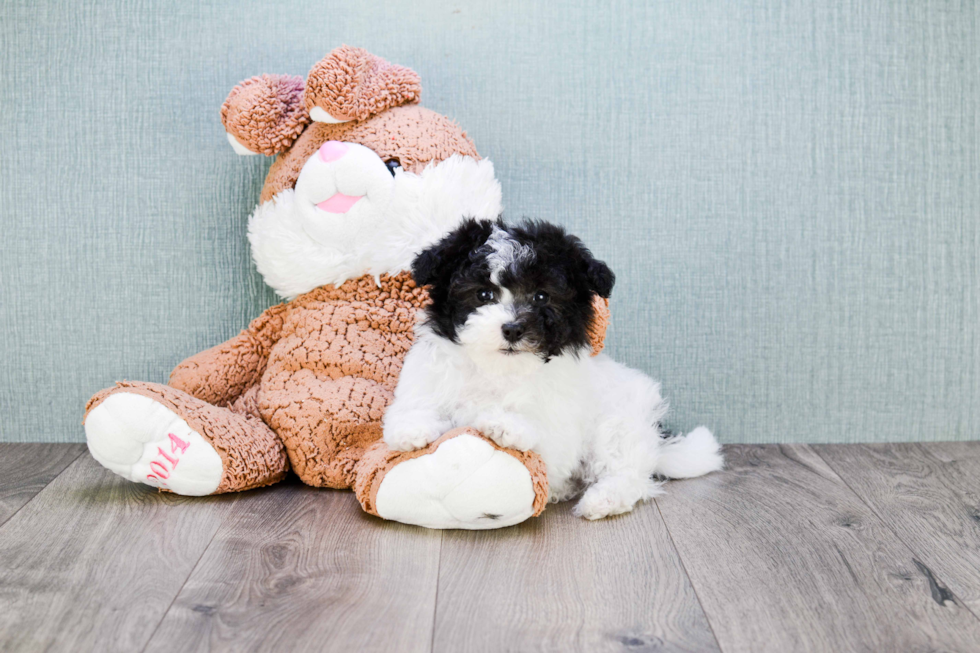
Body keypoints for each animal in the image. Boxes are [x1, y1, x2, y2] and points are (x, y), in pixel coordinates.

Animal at [380, 219, 720, 520]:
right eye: (483, 294)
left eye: (541, 296)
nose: (513, 328)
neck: (498, 368)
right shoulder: (428, 379)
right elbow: (413, 408)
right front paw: (412, 429)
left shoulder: (560, 419)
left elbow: (540, 433)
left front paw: (504, 424)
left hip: (619, 425)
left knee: (630, 474)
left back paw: (603, 499)